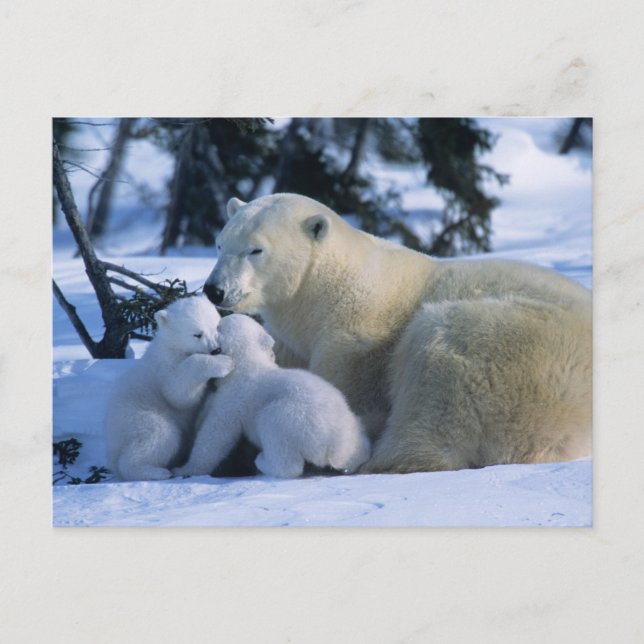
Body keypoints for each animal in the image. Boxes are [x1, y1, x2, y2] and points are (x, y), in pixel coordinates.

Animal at [104, 296, 233, 481]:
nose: (216, 349)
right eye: (197, 334)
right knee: (160, 435)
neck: (173, 345)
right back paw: (156, 472)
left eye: (216, 326)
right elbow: (179, 393)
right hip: (137, 417)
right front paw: (224, 363)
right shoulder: (166, 366)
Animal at [173, 313, 371, 479]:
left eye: (218, 325)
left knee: (278, 438)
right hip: (351, 424)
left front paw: (185, 469)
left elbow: (215, 434)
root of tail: (335, 445)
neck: (247, 365)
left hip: (293, 419)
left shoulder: (234, 398)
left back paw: (263, 461)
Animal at [202, 192, 592, 474]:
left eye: (255, 249)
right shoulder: (293, 340)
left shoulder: (357, 339)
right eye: (220, 243)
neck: (326, 291)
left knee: (437, 382)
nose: (214, 290)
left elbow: (345, 398)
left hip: (506, 347)